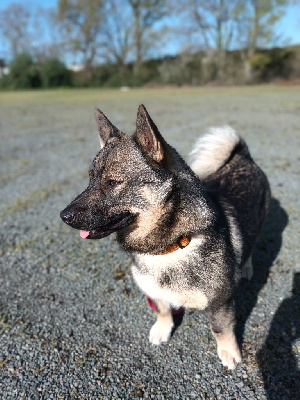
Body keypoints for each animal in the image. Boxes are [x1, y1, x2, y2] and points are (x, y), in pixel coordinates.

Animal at [59, 104, 270, 370]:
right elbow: (163, 310)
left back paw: (246, 267)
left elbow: (221, 329)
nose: (64, 215)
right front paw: (162, 329)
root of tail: (243, 156)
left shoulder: (220, 302)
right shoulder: (154, 291)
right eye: (90, 178)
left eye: (112, 182)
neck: (169, 247)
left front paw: (229, 352)